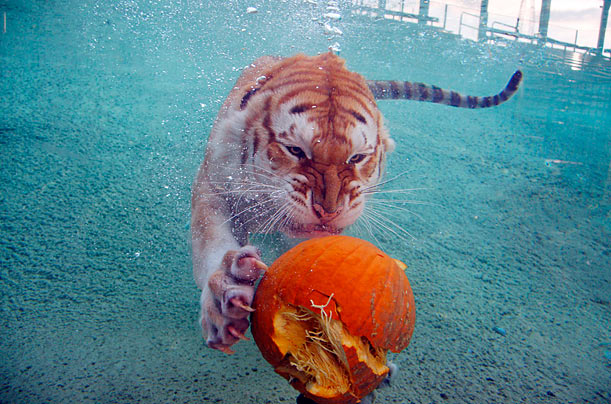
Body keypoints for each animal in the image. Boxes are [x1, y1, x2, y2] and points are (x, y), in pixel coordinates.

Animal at [190, 52, 520, 358]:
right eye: (295, 150)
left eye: (357, 158)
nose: (329, 210)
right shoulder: (213, 186)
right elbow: (211, 241)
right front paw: (224, 299)